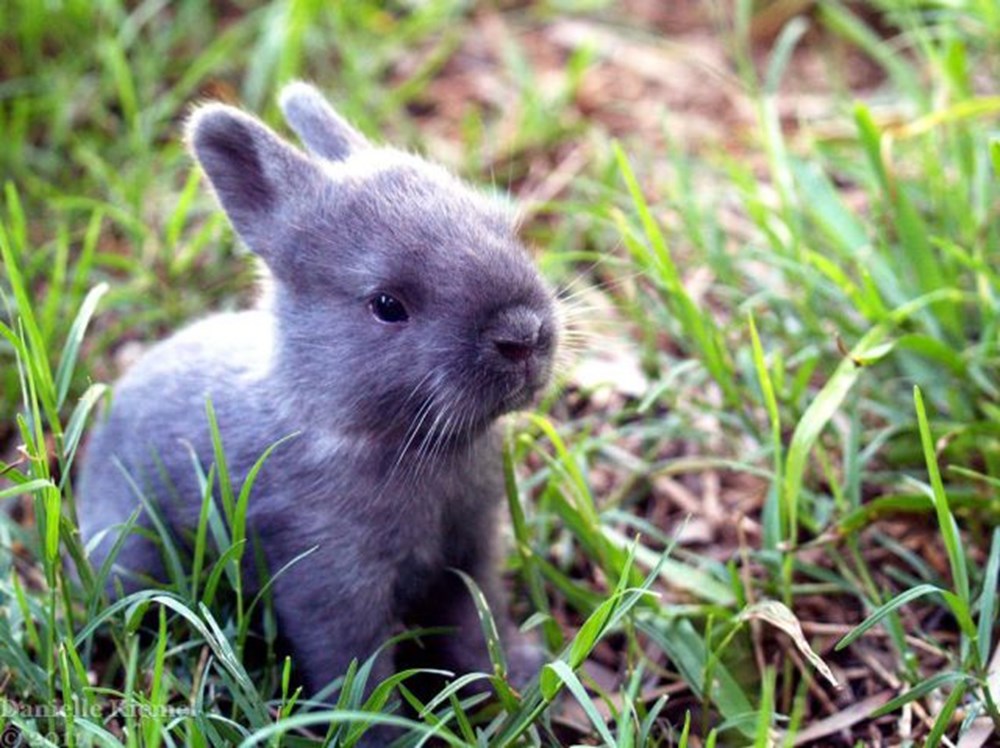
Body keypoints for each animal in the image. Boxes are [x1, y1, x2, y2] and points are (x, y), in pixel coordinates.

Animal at [78, 84, 560, 704]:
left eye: (501, 225)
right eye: (387, 305)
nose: (523, 335)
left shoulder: (469, 554)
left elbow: (480, 620)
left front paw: (518, 677)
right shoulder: (330, 584)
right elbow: (353, 669)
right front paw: (384, 724)